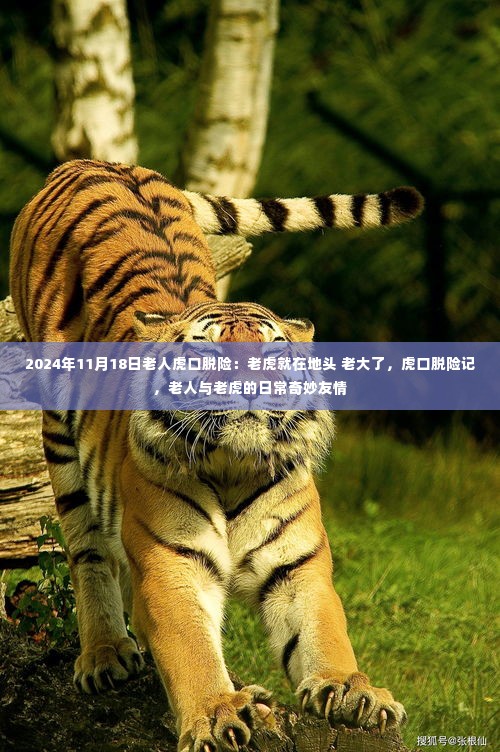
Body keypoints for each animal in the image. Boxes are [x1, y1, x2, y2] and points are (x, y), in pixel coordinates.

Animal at [10, 159, 422, 752]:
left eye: (273, 348)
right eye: (207, 348)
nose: (251, 382)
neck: (232, 466)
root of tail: (94, 163)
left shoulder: (299, 567)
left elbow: (324, 632)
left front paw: (353, 690)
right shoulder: (172, 565)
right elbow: (190, 649)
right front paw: (216, 712)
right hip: (60, 443)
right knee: (88, 551)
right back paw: (105, 655)